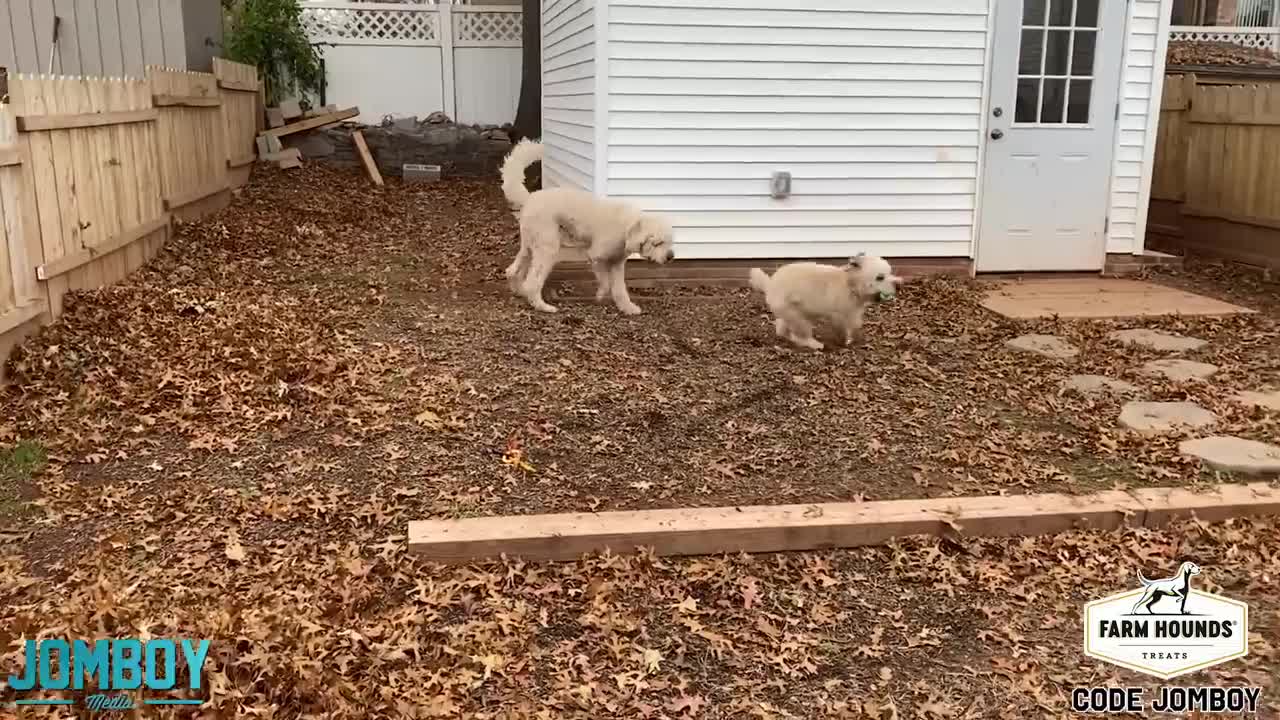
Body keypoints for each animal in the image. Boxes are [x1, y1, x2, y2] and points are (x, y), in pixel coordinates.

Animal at [501, 139, 680, 312]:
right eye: (658, 243)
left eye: (669, 242)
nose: (671, 257)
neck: (627, 227)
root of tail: (530, 197)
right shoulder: (597, 257)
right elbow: (606, 282)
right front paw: (601, 294)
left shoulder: (616, 264)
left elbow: (620, 289)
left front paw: (628, 308)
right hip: (547, 248)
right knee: (532, 282)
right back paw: (542, 306)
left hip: (530, 246)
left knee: (512, 271)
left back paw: (520, 291)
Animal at [747, 254, 906, 351]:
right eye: (880, 277)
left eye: (890, 273)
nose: (898, 284)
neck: (850, 284)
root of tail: (770, 285)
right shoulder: (838, 315)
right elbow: (842, 329)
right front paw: (844, 342)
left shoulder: (853, 313)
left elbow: (854, 325)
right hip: (798, 317)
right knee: (800, 335)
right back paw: (813, 344)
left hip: (791, 313)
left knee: (782, 328)